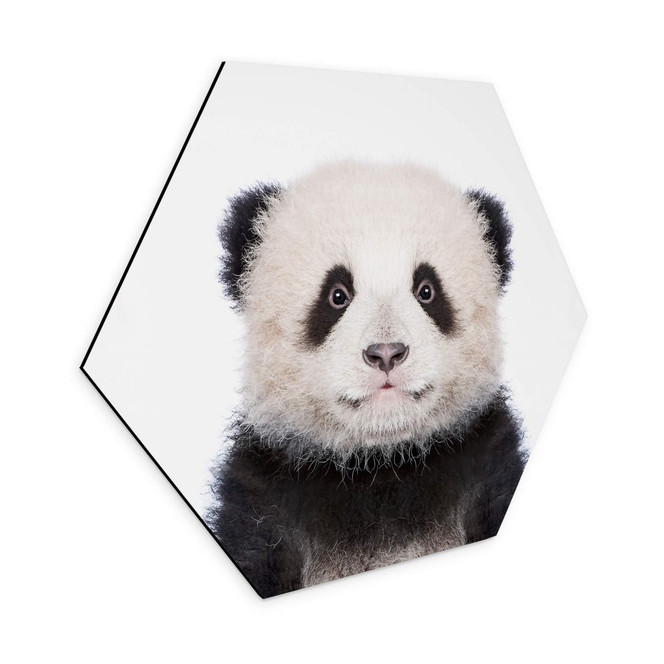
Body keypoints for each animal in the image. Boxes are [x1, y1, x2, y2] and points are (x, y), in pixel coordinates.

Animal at [208, 161, 526, 598]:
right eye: (337, 294)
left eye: (427, 290)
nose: (386, 353)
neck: (381, 466)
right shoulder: (264, 502)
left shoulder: (485, 467)